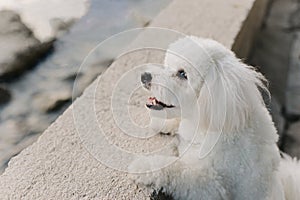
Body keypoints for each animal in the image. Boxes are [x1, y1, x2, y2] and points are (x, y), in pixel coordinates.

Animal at [129, 36, 300, 200]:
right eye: (167, 64)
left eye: (183, 74)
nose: (145, 76)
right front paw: (163, 122)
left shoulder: (213, 186)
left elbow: (177, 169)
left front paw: (144, 167)